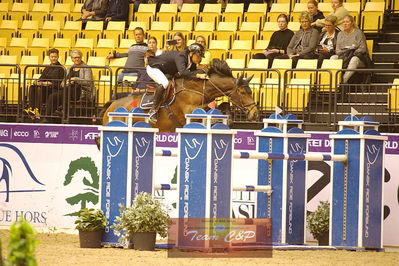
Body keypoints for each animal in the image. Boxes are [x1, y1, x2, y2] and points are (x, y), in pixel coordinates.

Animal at [101, 59, 260, 132]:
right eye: (243, 93)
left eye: (251, 92)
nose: (255, 114)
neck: (199, 89)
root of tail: (111, 105)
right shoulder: (189, 112)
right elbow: (208, 110)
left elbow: (221, 106)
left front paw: (228, 117)